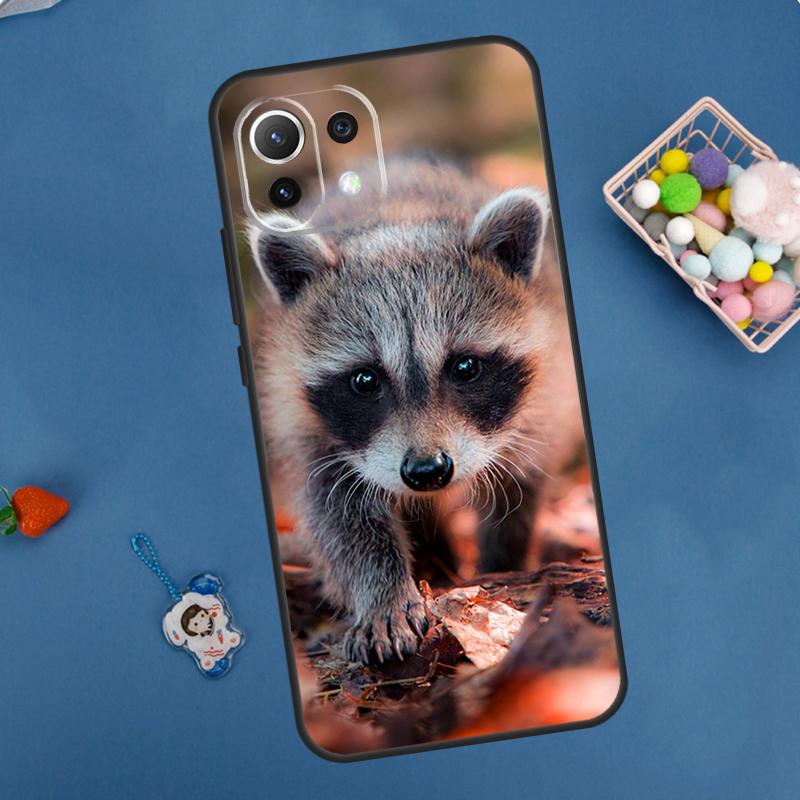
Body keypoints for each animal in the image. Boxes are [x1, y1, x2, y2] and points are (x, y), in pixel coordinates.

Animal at [248, 162, 583, 664]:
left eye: (465, 367)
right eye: (365, 380)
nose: (428, 472)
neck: (399, 218)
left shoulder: (544, 395)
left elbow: (518, 488)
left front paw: (502, 564)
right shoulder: (303, 418)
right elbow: (339, 517)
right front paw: (381, 593)